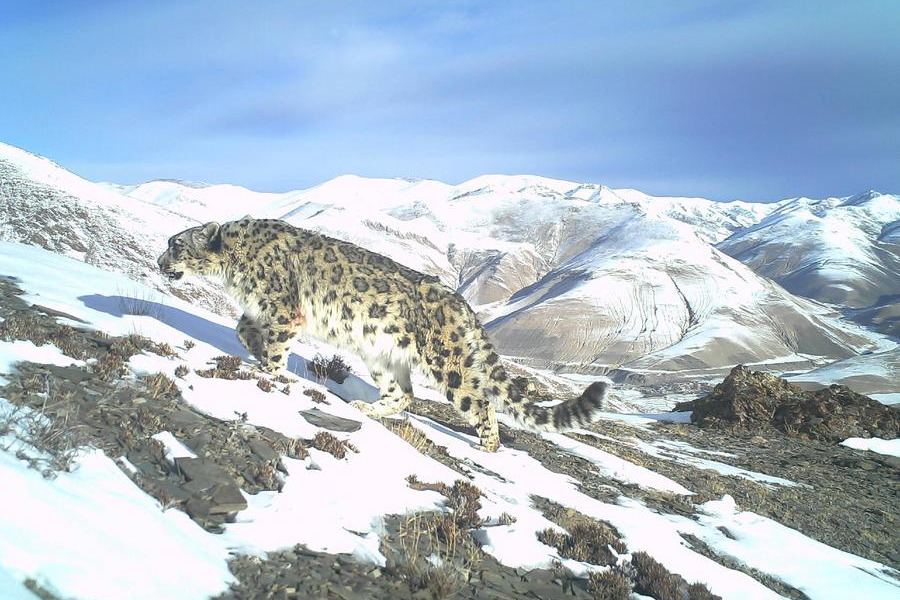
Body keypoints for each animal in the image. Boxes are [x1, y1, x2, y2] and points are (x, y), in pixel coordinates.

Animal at [158, 217, 608, 451]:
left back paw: (488, 446)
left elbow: (275, 345)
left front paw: (268, 370)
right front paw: (252, 348)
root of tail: (461, 303)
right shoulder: (262, 309)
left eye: (176, 245)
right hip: (382, 356)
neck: (233, 268)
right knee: (403, 395)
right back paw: (364, 409)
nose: (160, 263)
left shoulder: (284, 310)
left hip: (449, 365)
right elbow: (242, 326)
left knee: (480, 403)